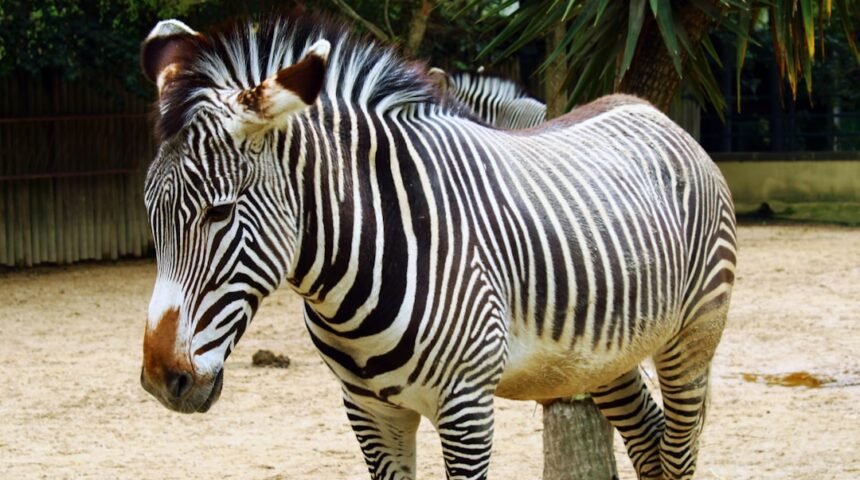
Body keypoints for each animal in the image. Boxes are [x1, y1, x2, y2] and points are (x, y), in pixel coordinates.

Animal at [138, 13, 736, 480]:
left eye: (219, 212)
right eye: (150, 212)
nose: (161, 381)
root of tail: (648, 108)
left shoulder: (466, 406)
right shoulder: (367, 410)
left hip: (692, 336)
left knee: (679, 448)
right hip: (604, 356)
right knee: (649, 438)